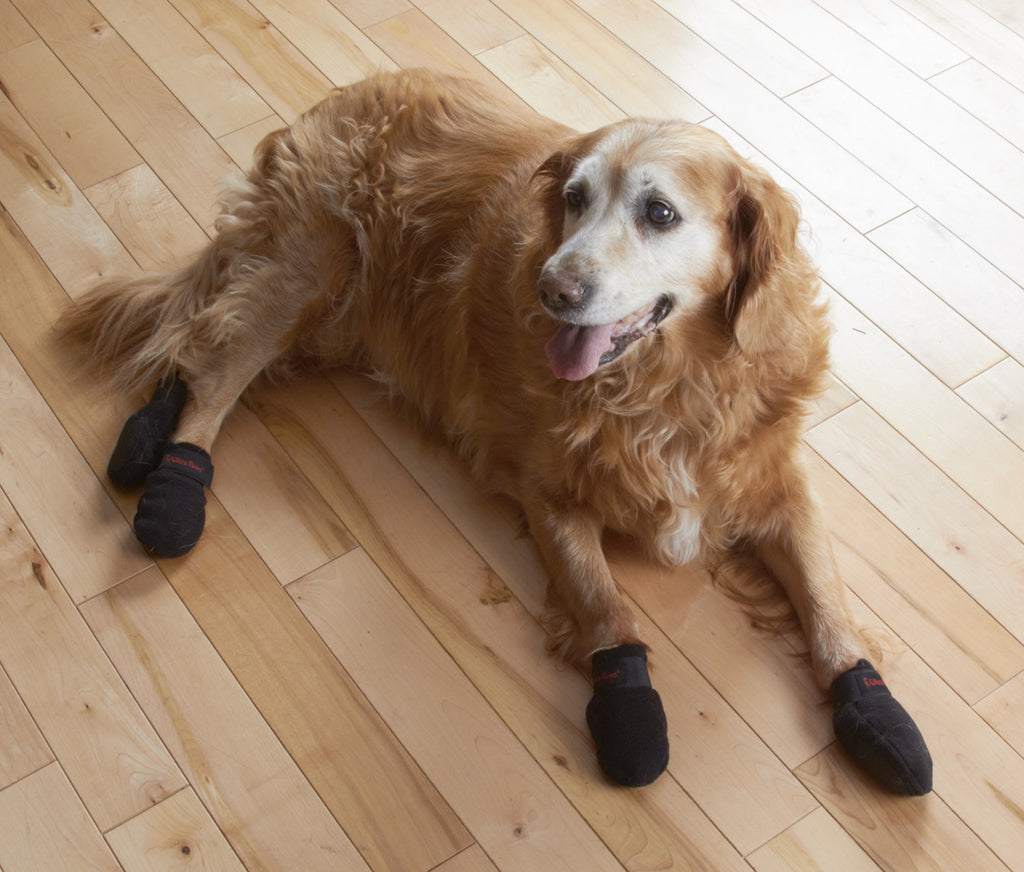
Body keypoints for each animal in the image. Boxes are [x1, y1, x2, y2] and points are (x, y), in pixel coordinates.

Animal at [59, 66, 933, 790]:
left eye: (659, 213)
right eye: (574, 198)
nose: (554, 289)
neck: (672, 387)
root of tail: (345, 94)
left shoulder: (782, 490)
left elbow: (830, 609)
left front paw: (877, 712)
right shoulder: (548, 492)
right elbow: (607, 608)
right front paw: (630, 715)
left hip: (324, 313)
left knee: (193, 341)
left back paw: (143, 438)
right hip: (306, 273)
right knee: (214, 368)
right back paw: (171, 488)